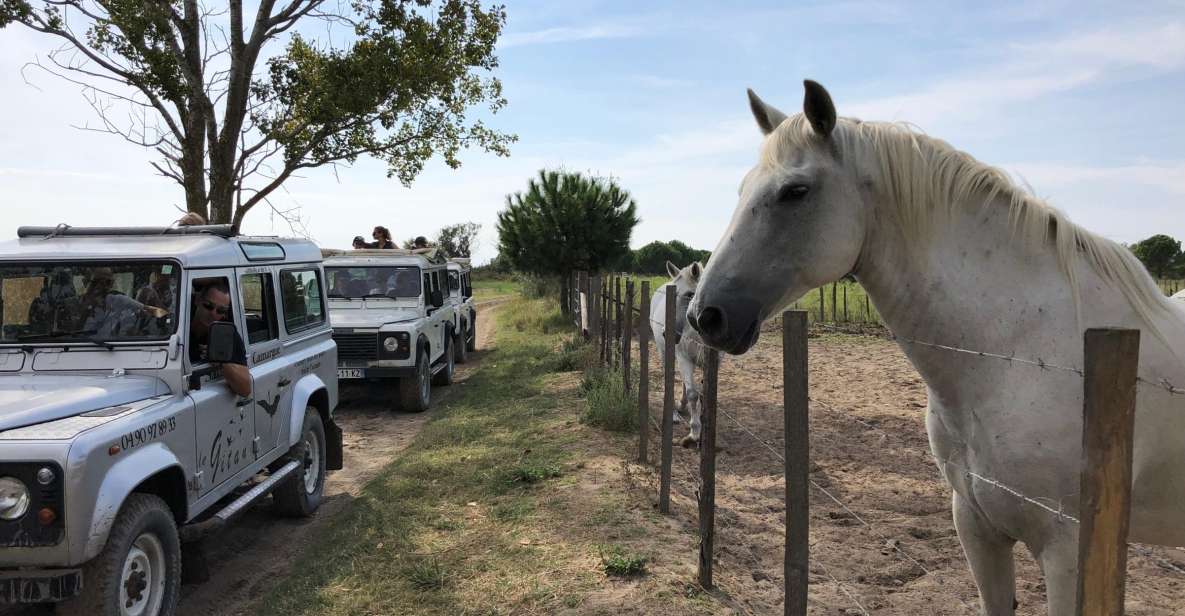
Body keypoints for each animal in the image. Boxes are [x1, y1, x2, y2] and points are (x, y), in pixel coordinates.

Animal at [654, 260, 706, 447]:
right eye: (673, 294)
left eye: (690, 294)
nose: (666, 332)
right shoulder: (684, 358)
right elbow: (693, 394)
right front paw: (695, 432)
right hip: (665, 352)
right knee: (668, 380)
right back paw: (674, 415)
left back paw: (682, 406)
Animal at [687, 79, 1185, 611]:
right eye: (743, 189)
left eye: (794, 191)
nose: (705, 315)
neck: (1020, 355)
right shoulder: (976, 526)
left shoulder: (1068, 555)